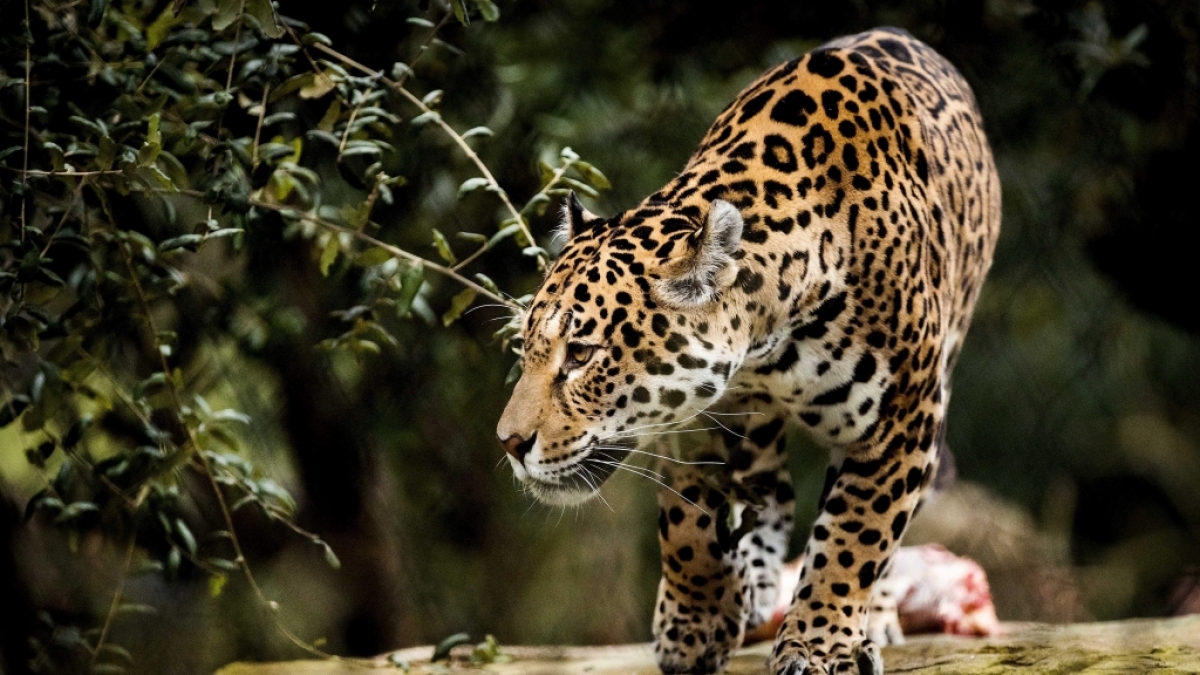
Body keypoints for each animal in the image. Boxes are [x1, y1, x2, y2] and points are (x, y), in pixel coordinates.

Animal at [496, 27, 1000, 675]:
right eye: (528, 348)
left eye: (581, 354)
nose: (509, 444)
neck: (768, 339)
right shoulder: (693, 417)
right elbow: (686, 519)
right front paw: (694, 623)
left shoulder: (904, 417)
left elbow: (855, 535)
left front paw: (819, 643)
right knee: (770, 490)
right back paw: (754, 584)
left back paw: (871, 617)